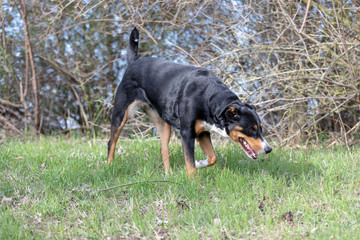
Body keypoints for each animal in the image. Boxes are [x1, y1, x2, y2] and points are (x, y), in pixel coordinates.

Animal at [108, 28, 272, 176]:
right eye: (251, 129)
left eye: (260, 128)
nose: (268, 149)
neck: (208, 98)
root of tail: (133, 63)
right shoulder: (187, 133)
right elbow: (190, 163)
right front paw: (192, 181)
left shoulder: (203, 132)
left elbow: (212, 157)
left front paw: (200, 163)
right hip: (121, 114)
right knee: (111, 142)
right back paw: (109, 167)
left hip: (163, 124)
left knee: (163, 150)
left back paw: (169, 174)